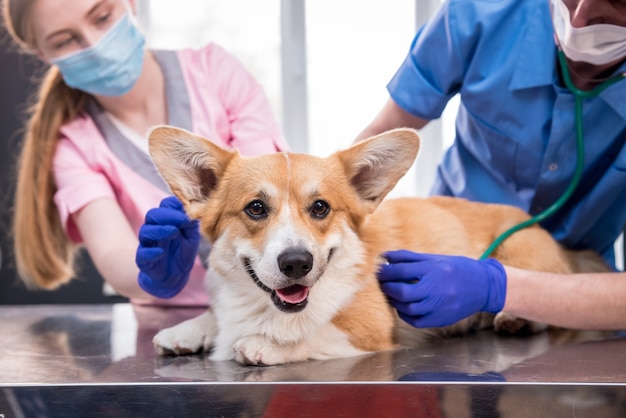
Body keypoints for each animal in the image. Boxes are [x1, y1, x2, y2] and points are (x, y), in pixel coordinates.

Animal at [146, 125, 604, 364]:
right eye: (256, 208)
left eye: (320, 207)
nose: (296, 263)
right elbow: (216, 316)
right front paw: (190, 329)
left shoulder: (369, 331)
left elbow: (312, 333)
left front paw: (265, 344)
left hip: (522, 256)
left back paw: (511, 316)